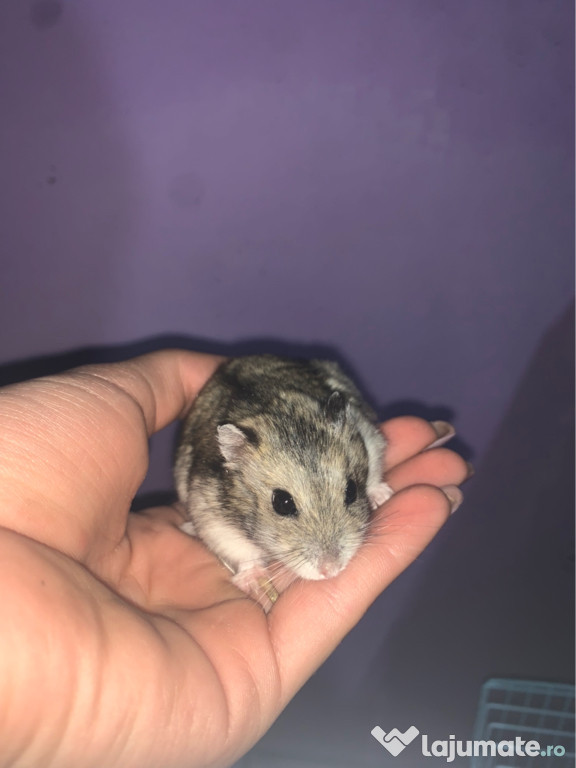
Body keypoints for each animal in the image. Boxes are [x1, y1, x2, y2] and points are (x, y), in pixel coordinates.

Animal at [174, 355, 393, 606]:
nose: (332, 569)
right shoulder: (211, 516)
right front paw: (257, 583)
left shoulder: (368, 435)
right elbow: (242, 553)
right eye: (283, 503)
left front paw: (383, 495)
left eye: (352, 491)